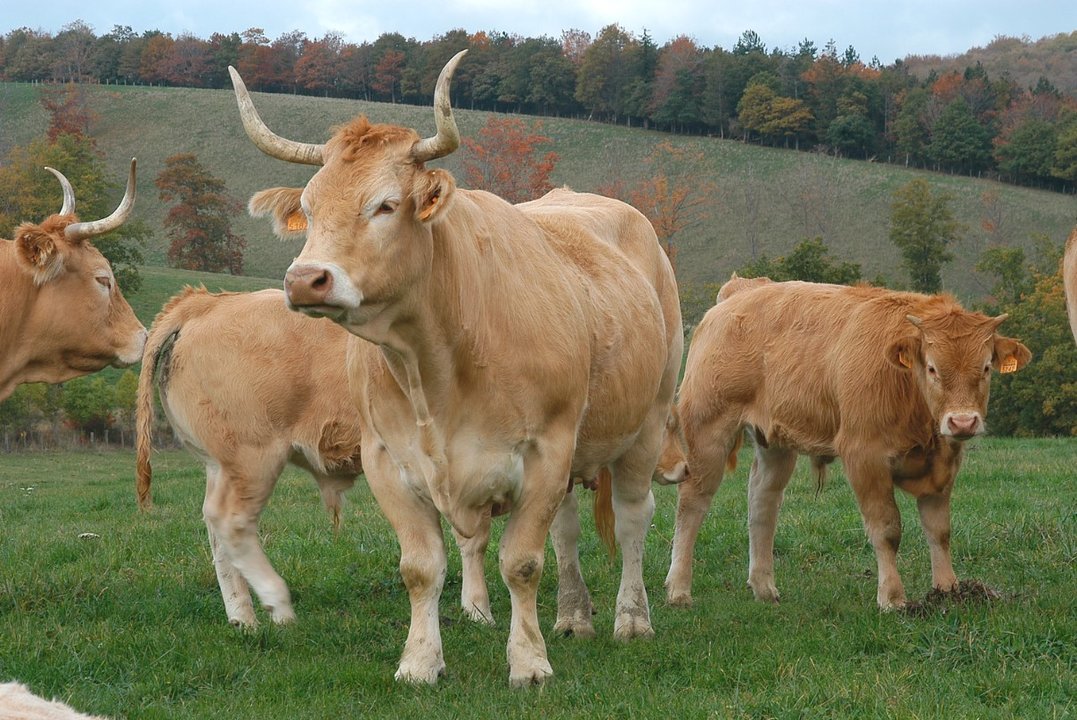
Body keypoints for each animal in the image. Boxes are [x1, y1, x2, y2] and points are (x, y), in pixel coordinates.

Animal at [659, 277, 1029, 611]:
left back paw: (764, 587)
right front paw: (893, 598)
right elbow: (887, 528)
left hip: (774, 443)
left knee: (762, 502)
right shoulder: (865, 457)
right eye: (933, 368)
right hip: (708, 430)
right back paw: (678, 590)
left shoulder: (943, 464)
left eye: (986, 368)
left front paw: (948, 591)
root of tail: (741, 291)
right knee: (692, 503)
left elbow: (939, 530)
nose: (963, 422)